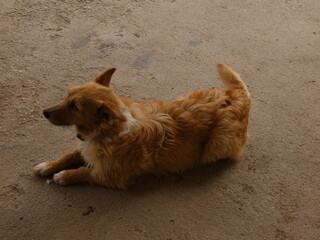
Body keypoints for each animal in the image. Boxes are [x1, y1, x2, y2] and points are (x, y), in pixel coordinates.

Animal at [34, 63, 250, 189]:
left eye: (75, 107)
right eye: (67, 95)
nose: (45, 112)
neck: (106, 132)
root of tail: (239, 97)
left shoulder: (109, 176)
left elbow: (84, 172)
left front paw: (64, 176)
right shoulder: (85, 146)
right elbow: (68, 155)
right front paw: (48, 165)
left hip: (216, 145)